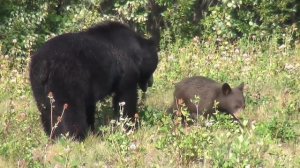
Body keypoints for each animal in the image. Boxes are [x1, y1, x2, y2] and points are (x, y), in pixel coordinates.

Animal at [29, 21, 158, 140]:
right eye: (154, 67)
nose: (151, 82)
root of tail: (43, 65)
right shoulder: (126, 70)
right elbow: (126, 97)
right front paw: (130, 125)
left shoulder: (89, 86)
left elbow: (90, 106)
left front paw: (93, 129)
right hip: (65, 80)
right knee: (70, 111)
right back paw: (75, 136)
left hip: (39, 87)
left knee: (46, 110)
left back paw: (52, 135)